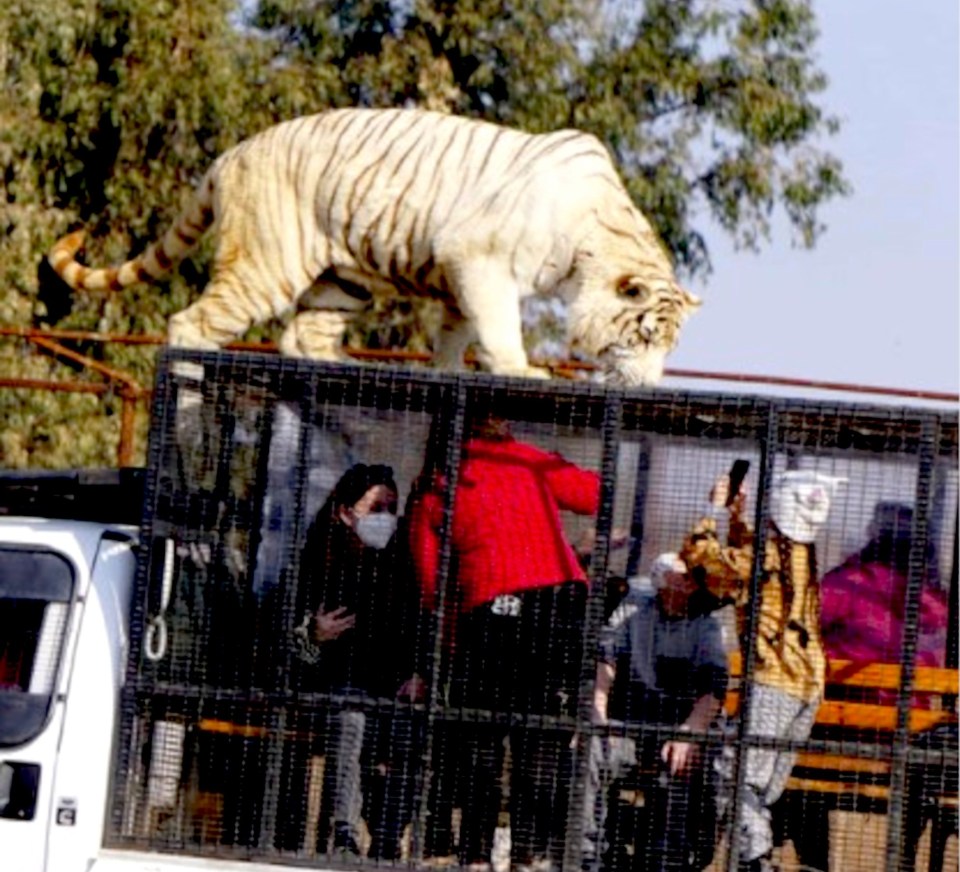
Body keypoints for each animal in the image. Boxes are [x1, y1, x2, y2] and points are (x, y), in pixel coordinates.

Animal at [48, 106, 700, 384]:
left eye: (668, 346)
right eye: (644, 336)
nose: (648, 384)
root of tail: (229, 155)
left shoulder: (459, 279)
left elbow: (457, 336)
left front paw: (447, 372)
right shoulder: (479, 257)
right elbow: (498, 326)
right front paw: (521, 370)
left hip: (343, 279)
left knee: (301, 335)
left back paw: (346, 365)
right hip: (264, 265)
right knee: (190, 324)